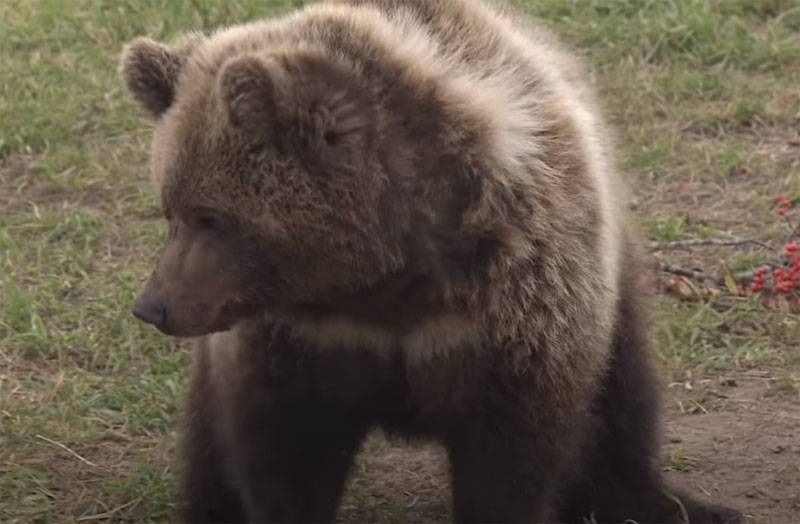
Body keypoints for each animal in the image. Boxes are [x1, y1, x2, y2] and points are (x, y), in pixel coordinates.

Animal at [123, 1, 744, 524]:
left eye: (212, 217)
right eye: (171, 209)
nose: (153, 306)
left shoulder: (515, 310)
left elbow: (511, 459)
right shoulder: (301, 339)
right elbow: (283, 450)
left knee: (623, 399)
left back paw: (672, 504)